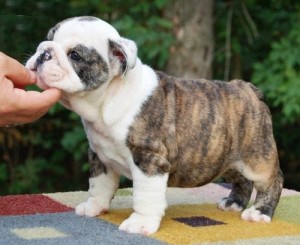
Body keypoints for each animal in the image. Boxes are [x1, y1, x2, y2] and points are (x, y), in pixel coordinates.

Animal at [26, 16, 284, 234]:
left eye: (75, 55)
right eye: (49, 38)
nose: (44, 52)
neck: (107, 100)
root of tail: (247, 88)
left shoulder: (149, 161)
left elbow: (145, 196)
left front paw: (140, 223)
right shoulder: (100, 156)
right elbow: (99, 184)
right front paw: (94, 206)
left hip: (257, 157)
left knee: (273, 180)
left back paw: (260, 212)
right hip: (226, 157)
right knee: (241, 179)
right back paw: (234, 202)